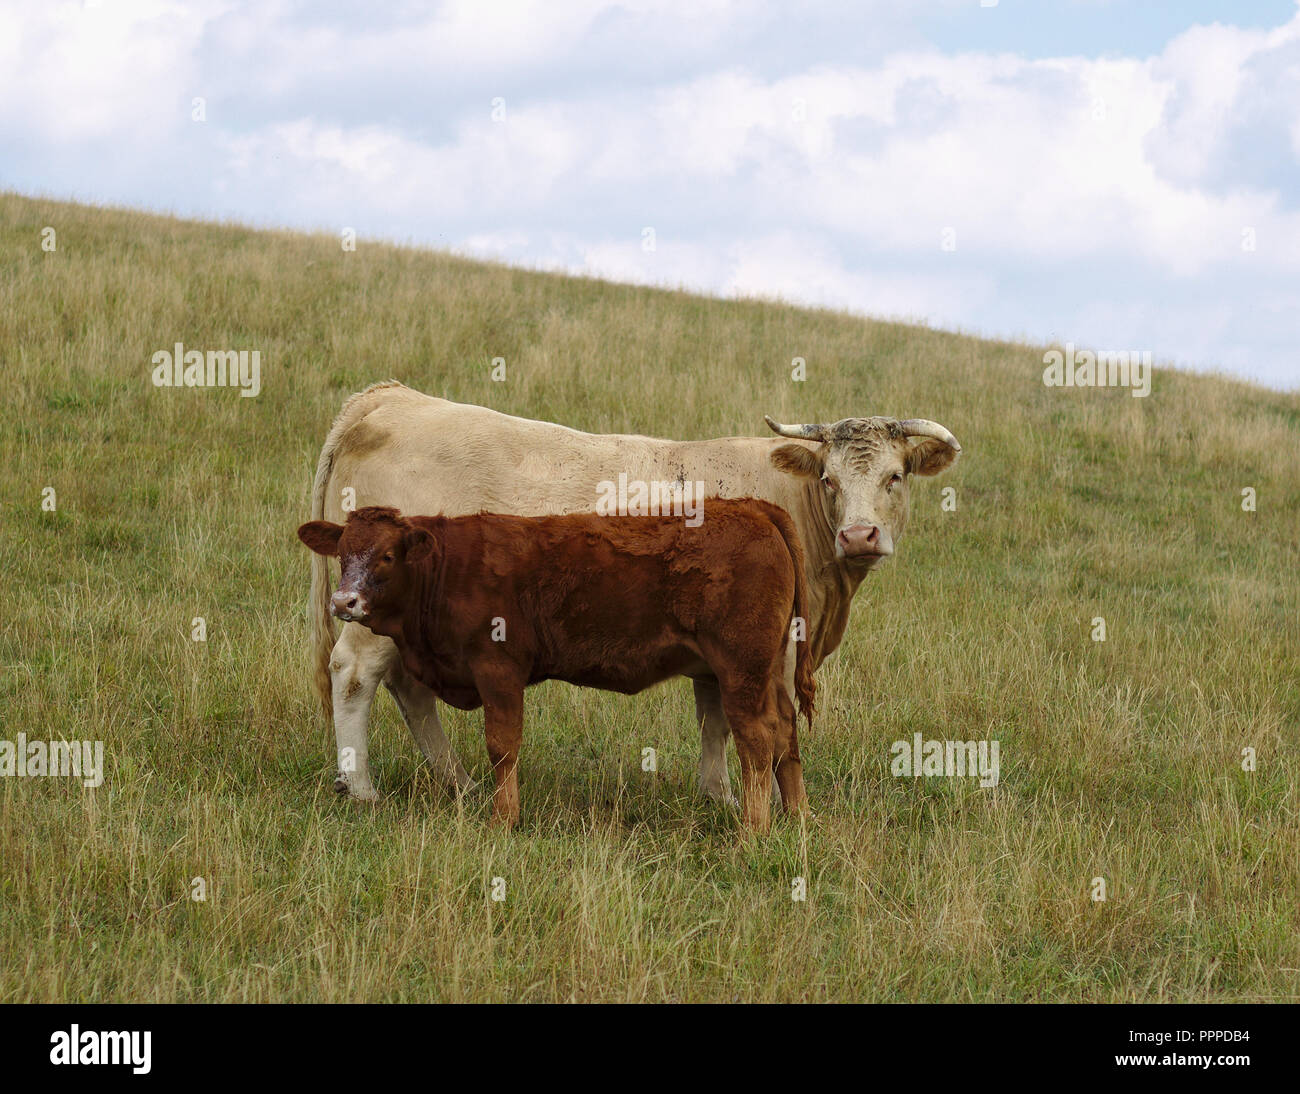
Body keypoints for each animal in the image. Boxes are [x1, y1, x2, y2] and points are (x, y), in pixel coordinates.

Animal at [298, 502, 815, 832]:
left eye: (387, 556)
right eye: (341, 555)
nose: (343, 601)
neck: (446, 570)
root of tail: (753, 508)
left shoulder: (498, 669)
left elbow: (502, 746)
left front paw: (503, 819)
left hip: (741, 670)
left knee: (757, 740)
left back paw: (752, 831)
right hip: (768, 671)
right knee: (786, 732)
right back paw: (798, 816)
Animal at [306, 382, 960, 804]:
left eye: (894, 477)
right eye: (829, 478)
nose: (859, 535)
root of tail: (392, 398)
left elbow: (714, 719)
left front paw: (717, 796)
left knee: (408, 687)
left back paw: (458, 784)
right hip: (368, 609)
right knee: (355, 674)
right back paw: (360, 788)